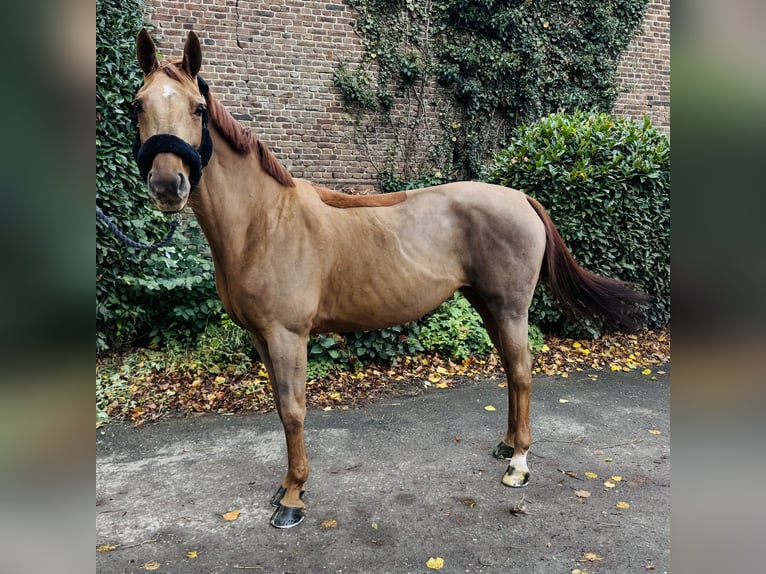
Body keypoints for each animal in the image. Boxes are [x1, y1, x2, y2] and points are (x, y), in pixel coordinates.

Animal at [131, 29, 648, 529]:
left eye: (198, 108)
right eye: (138, 104)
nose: (168, 184)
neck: (266, 221)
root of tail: (520, 196)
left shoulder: (287, 335)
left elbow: (294, 411)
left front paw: (293, 497)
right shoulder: (262, 336)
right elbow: (280, 408)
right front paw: (285, 487)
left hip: (510, 307)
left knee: (521, 374)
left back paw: (518, 464)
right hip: (486, 305)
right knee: (508, 370)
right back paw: (506, 445)